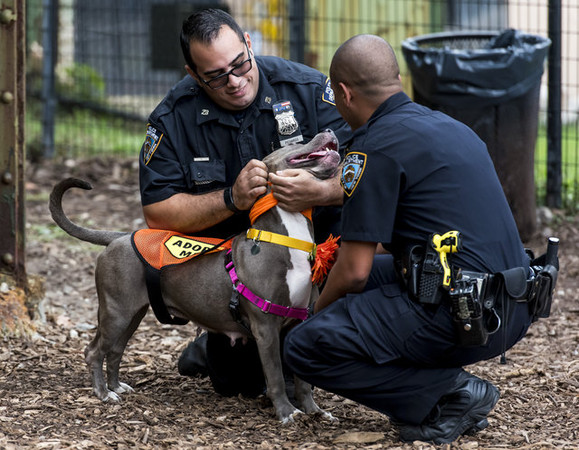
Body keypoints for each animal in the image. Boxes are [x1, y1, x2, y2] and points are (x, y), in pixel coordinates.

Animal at [49, 129, 342, 422]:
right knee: (94, 352)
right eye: (296, 143)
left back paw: (115, 386)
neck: (287, 237)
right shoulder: (265, 327)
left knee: (115, 350)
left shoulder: (299, 319)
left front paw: (315, 411)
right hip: (116, 311)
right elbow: (275, 378)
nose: (328, 130)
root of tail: (119, 237)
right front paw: (287, 413)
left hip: (133, 313)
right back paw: (103, 394)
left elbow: (303, 381)